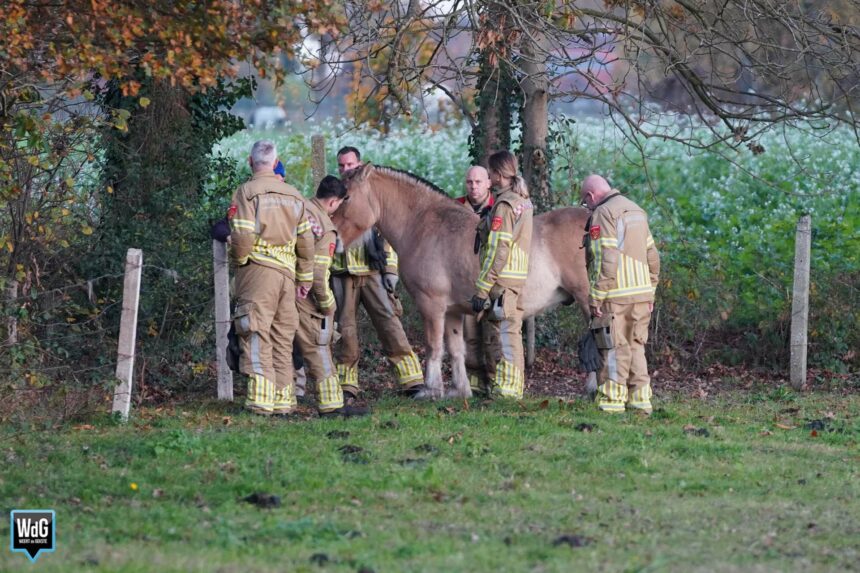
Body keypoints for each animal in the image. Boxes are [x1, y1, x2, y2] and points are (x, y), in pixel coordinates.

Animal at [333, 163, 597, 399]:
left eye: (346, 197)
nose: (332, 236)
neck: (422, 224)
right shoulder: (453, 311)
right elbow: (456, 349)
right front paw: (459, 390)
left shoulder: (431, 305)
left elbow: (434, 347)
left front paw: (431, 390)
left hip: (589, 300)